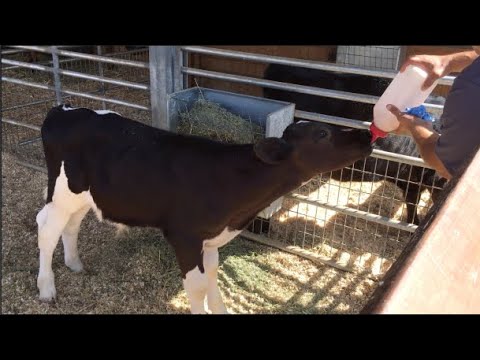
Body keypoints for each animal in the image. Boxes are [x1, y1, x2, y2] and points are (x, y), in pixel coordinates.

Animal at [35, 103, 374, 312]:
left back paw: (74, 263)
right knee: (47, 228)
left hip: (84, 196)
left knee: (71, 224)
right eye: (322, 134)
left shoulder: (210, 238)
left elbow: (212, 275)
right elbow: (197, 287)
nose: (366, 133)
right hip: (62, 191)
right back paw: (46, 289)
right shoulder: (184, 236)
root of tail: (62, 110)